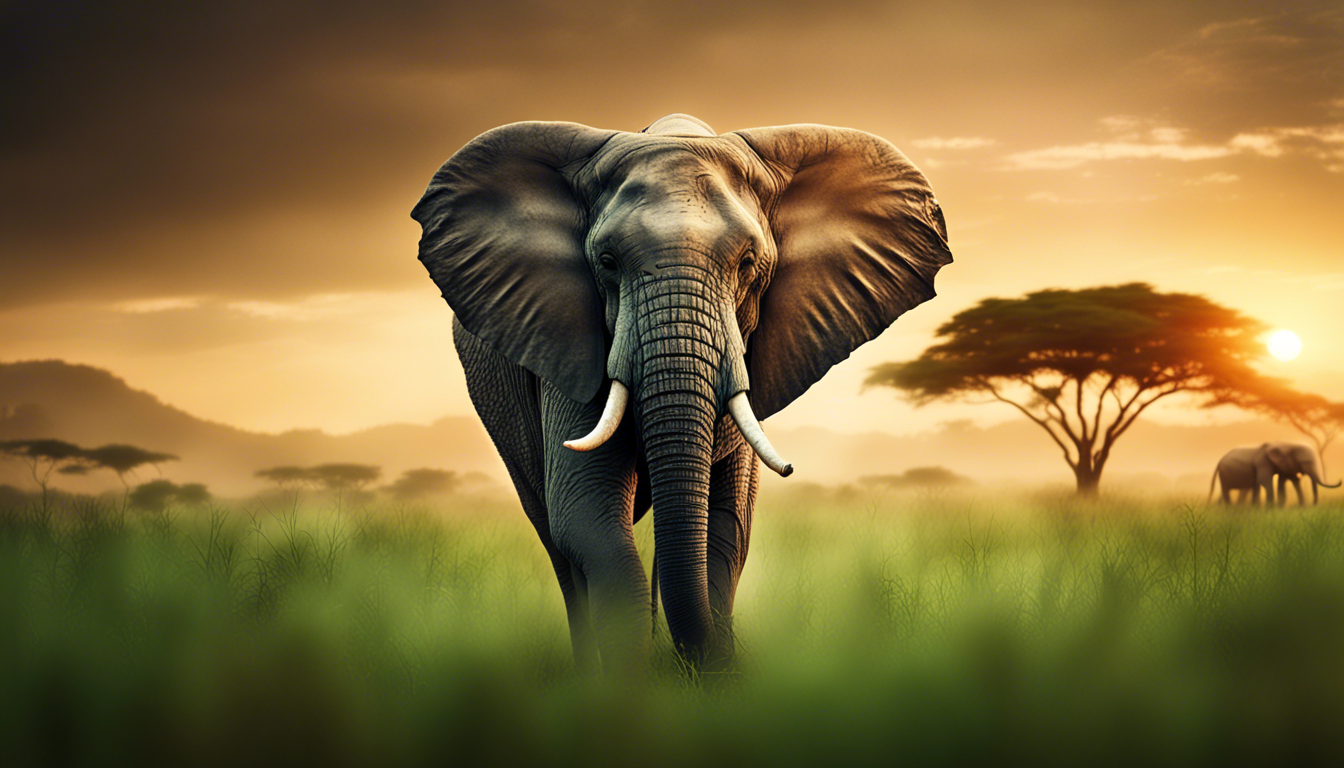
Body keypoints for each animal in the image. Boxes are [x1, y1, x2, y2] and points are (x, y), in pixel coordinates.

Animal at [411, 113, 951, 673]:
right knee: (555, 536)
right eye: (607, 261)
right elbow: (586, 519)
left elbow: (728, 528)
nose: (722, 667)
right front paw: (632, 682)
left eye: (748, 262)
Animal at [1208, 442, 1340, 506]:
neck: (1289, 445)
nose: (1313, 505)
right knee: (1226, 491)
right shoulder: (1262, 462)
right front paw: (1270, 510)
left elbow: (1287, 481)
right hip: (1224, 474)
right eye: (1305, 462)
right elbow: (1265, 481)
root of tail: (1219, 460)